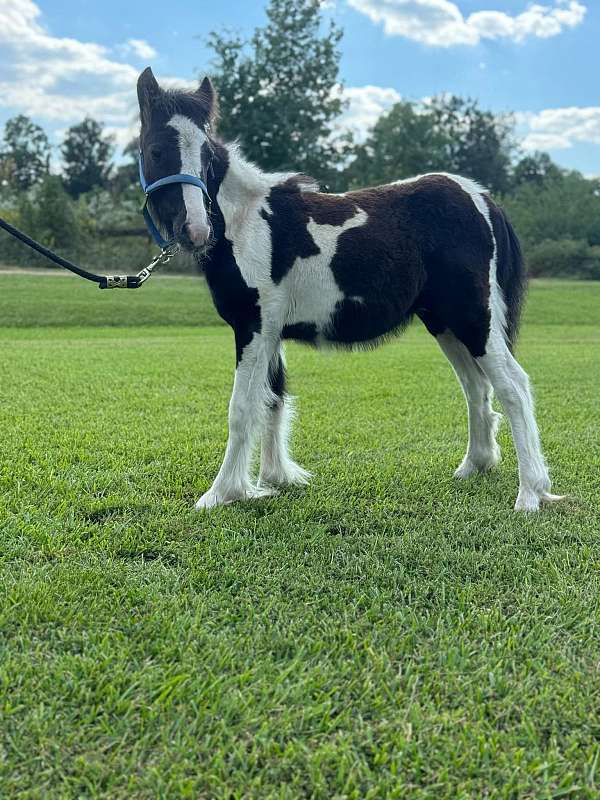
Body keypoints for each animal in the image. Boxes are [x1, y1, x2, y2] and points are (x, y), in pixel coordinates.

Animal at [137, 69, 564, 512]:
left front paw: (221, 493)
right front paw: (274, 479)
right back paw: (475, 466)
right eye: (155, 150)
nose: (195, 230)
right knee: (476, 387)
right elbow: (273, 400)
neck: (246, 222)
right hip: (445, 323)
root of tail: (480, 197)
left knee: (513, 386)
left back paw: (530, 494)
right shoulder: (271, 332)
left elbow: (241, 410)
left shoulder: (253, 327)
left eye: (206, 156)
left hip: (474, 319)